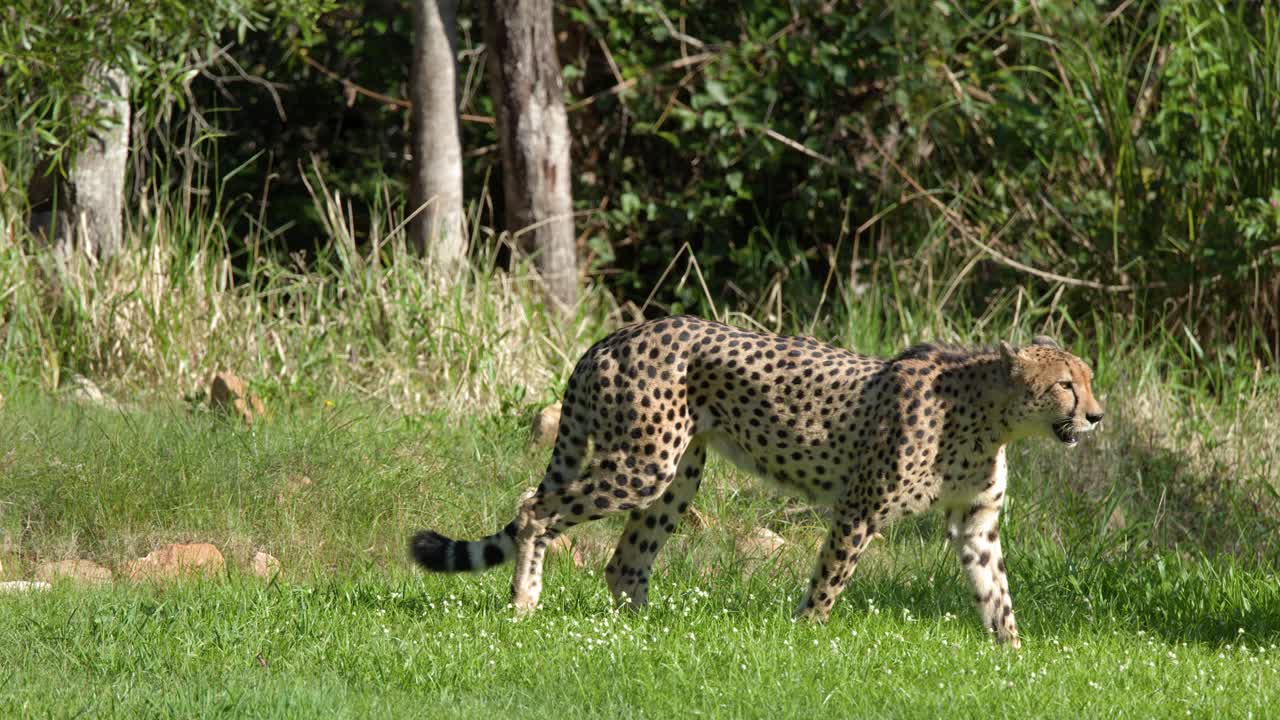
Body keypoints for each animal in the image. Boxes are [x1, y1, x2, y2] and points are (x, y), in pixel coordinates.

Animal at [410, 315, 1103, 647]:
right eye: (1066, 385)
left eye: (1090, 380)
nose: (1097, 416)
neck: (991, 415)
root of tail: (615, 335)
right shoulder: (858, 509)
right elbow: (829, 583)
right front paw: (805, 640)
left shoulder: (976, 524)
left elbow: (997, 596)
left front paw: (1014, 658)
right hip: (643, 466)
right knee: (535, 507)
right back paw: (524, 604)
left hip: (676, 476)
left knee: (625, 562)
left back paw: (642, 634)